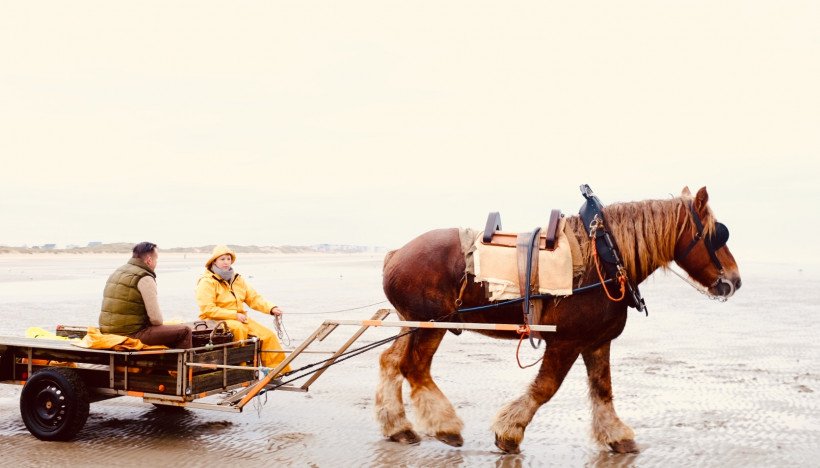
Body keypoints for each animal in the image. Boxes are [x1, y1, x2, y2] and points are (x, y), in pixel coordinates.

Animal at [378, 186, 744, 454]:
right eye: (717, 235)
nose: (735, 281)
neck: (605, 258)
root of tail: (395, 254)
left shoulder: (597, 342)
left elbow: (602, 390)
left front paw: (616, 435)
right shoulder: (566, 341)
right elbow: (545, 388)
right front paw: (509, 432)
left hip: (410, 324)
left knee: (390, 362)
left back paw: (398, 426)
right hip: (430, 325)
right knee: (415, 368)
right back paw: (445, 426)